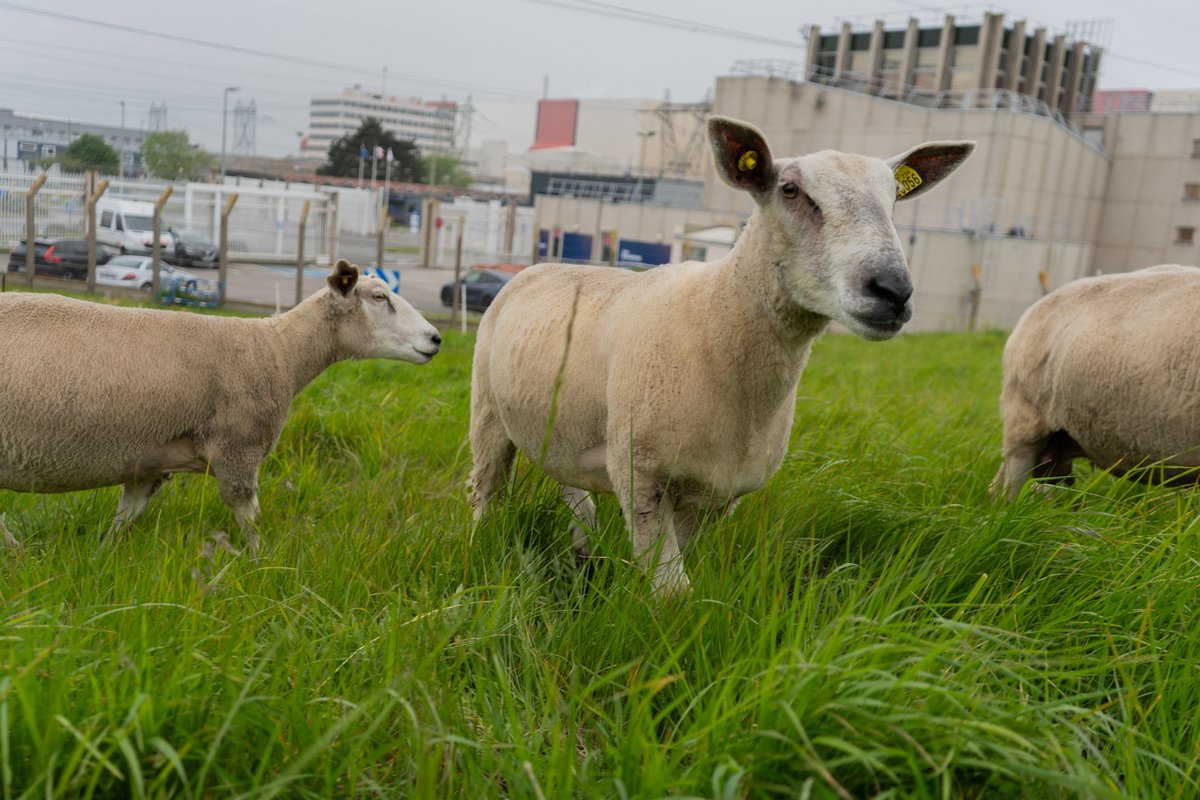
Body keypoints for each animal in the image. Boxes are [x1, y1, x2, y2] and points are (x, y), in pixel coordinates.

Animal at [0, 260, 441, 546]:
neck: (280, 351)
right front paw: (264, 569)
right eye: (380, 297)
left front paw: (102, 554)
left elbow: (126, 515)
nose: (436, 338)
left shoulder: (149, 459)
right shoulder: (237, 449)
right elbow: (251, 520)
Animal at [468, 115, 974, 597]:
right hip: (487, 412)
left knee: (569, 483)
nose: (893, 290)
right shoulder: (639, 473)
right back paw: (481, 548)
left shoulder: (718, 492)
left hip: (561, 425)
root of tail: (536, 266)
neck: (717, 315)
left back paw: (582, 548)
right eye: (790, 190)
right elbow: (673, 593)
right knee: (484, 489)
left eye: (894, 200)